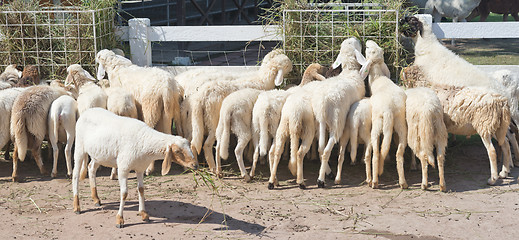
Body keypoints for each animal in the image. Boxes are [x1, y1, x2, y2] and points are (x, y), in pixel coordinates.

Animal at [360, 39, 408, 189]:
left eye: (369, 50)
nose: (368, 41)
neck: (378, 77)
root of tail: (389, 110)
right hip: (400, 125)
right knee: (399, 152)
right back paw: (403, 182)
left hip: (377, 124)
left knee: (376, 151)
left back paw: (374, 181)